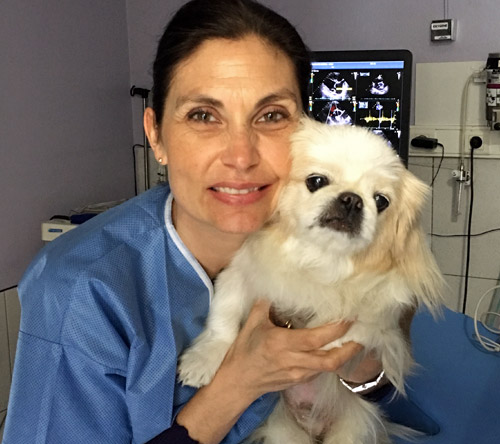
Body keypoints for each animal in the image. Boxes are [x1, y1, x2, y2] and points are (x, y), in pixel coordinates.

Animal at [178, 117, 444, 444]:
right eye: (316, 181)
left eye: (380, 201)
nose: (351, 200)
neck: (320, 260)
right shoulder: (238, 275)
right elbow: (223, 321)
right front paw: (202, 361)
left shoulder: (387, 310)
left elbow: (359, 322)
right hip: (285, 432)